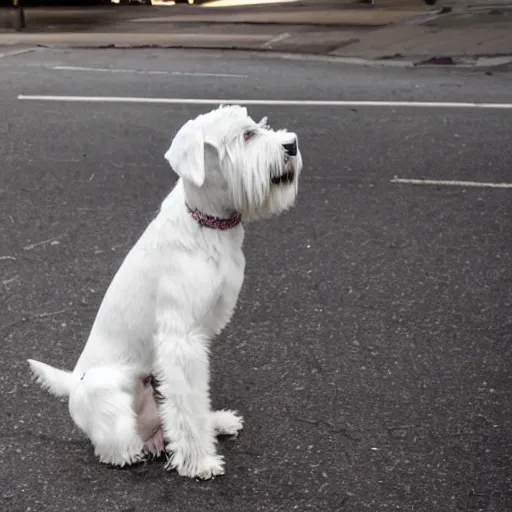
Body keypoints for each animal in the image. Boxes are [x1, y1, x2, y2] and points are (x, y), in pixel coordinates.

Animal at [26, 104, 302, 480]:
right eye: (246, 135)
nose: (292, 145)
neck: (207, 224)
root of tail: (73, 385)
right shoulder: (180, 339)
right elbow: (187, 403)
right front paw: (200, 462)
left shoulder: (197, 337)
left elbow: (195, 397)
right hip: (112, 399)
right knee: (115, 444)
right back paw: (132, 452)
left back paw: (215, 423)